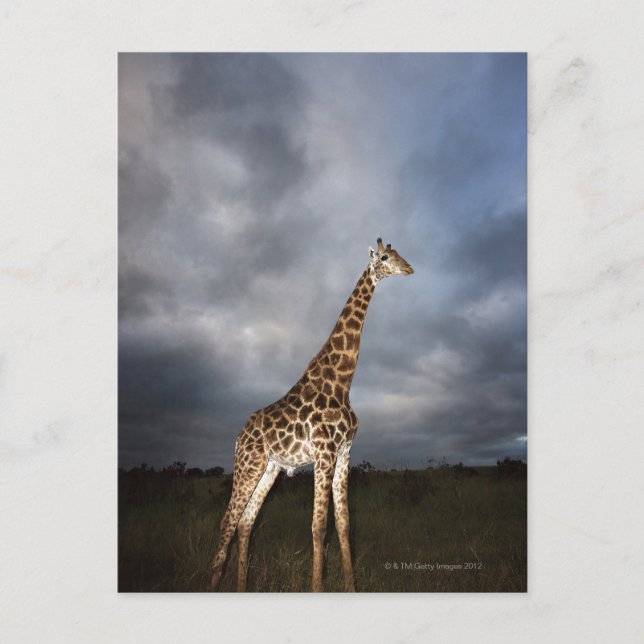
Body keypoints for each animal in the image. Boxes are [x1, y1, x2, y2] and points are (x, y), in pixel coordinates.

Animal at [209, 238, 414, 592]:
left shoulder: (344, 452)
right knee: (227, 522)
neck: (342, 381)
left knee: (246, 523)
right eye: (386, 257)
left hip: (269, 468)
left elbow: (344, 524)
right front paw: (318, 587)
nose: (410, 268)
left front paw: (351, 587)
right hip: (248, 464)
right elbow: (319, 527)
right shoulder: (324, 452)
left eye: (399, 254)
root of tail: (238, 437)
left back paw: (242, 588)